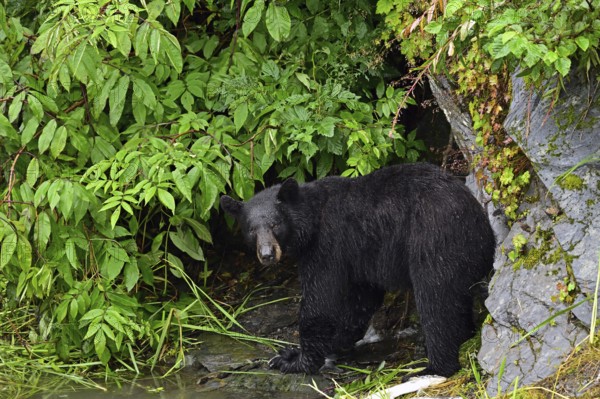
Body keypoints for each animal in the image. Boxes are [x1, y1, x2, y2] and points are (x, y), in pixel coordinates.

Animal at [220, 163, 496, 378]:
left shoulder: (328, 245)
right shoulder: (360, 257)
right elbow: (360, 301)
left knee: (436, 302)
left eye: (275, 224)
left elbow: (321, 302)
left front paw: (295, 361)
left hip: (436, 242)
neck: (312, 218)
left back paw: (434, 368)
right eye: (252, 229)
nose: (267, 254)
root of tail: (483, 232)